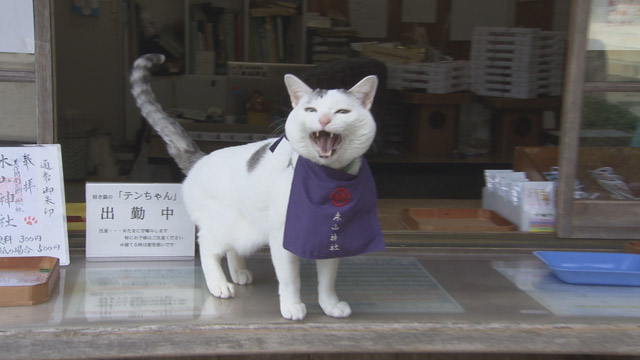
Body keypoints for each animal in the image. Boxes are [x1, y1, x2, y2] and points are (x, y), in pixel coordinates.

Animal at [130, 54, 380, 320]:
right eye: (311, 110)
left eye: (342, 111)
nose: (324, 119)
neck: (328, 178)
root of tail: (199, 159)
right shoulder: (281, 238)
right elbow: (290, 279)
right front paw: (292, 306)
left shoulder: (328, 240)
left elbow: (327, 280)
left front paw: (330, 305)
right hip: (220, 225)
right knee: (207, 248)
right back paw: (219, 284)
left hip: (246, 230)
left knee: (233, 249)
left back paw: (238, 272)